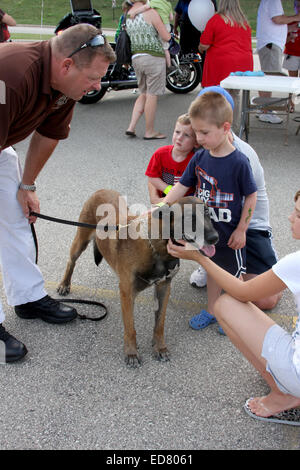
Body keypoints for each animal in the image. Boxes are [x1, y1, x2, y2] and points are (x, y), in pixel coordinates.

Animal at [56, 190, 218, 368]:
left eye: (208, 213)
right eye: (189, 217)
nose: (215, 237)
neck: (157, 249)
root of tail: (100, 190)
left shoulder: (164, 288)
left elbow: (160, 323)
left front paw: (159, 347)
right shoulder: (127, 293)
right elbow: (130, 327)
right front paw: (131, 352)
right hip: (80, 241)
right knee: (71, 261)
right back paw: (64, 284)